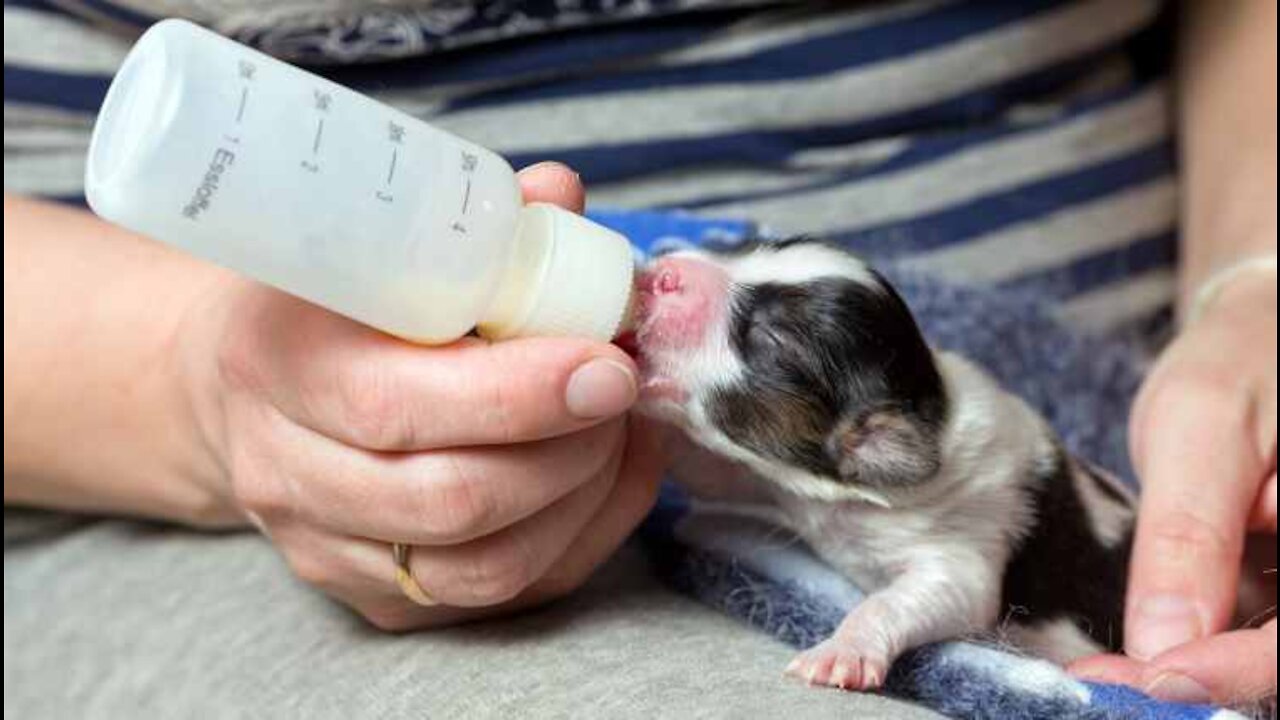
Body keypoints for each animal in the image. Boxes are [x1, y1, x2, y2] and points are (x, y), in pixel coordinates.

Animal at [624, 238, 1136, 686]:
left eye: (770, 338)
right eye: (748, 248)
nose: (663, 271)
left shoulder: (964, 546)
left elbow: (910, 598)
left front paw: (843, 651)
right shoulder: (768, 475)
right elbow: (703, 470)